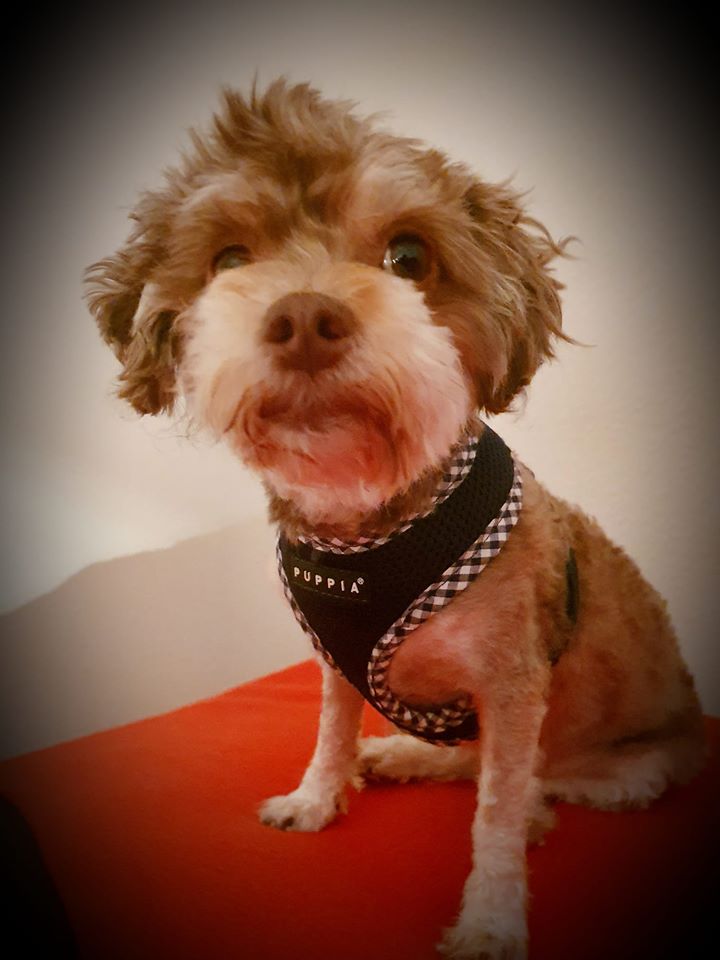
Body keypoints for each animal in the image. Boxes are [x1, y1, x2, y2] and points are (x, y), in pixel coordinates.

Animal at [86, 80, 706, 959]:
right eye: (229, 260)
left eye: (408, 258)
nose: (303, 318)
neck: (365, 528)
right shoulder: (335, 661)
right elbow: (332, 732)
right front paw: (316, 798)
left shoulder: (514, 684)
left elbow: (494, 815)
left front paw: (491, 919)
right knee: (472, 763)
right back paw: (407, 755)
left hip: (632, 770)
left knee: (528, 782)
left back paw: (534, 810)